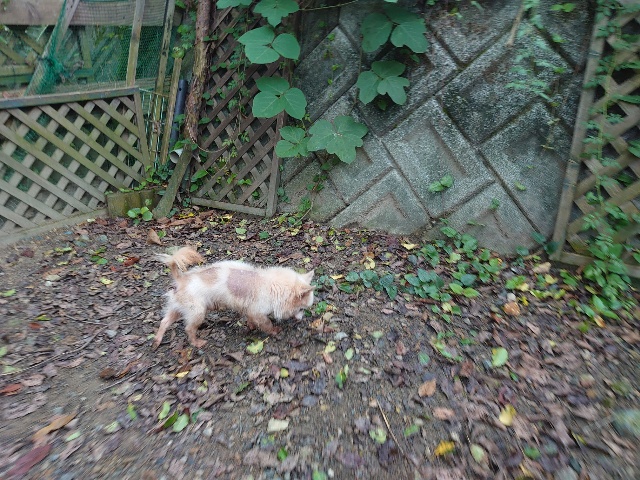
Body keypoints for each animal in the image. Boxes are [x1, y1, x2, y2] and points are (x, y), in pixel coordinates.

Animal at [153, 246, 314, 348]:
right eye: (301, 309)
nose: (301, 319)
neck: (272, 284)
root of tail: (181, 279)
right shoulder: (258, 312)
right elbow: (267, 324)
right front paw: (274, 331)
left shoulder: (250, 310)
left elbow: (251, 320)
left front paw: (250, 327)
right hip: (197, 312)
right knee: (189, 329)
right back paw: (197, 343)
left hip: (178, 308)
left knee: (164, 321)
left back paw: (157, 340)